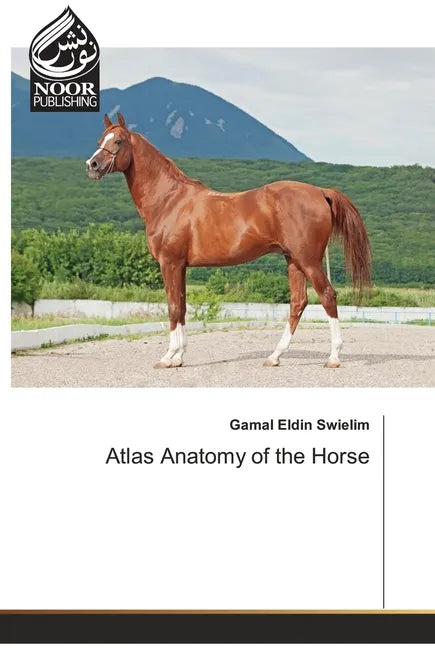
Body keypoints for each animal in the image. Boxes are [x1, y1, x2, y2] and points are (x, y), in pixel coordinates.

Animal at [86, 112, 371, 369]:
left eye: (118, 141)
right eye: (100, 139)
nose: (92, 165)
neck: (169, 200)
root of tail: (321, 192)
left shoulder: (170, 263)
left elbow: (173, 307)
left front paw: (168, 357)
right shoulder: (181, 267)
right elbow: (183, 306)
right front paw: (179, 357)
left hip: (309, 260)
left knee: (328, 296)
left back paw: (333, 357)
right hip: (294, 261)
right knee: (298, 303)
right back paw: (274, 357)